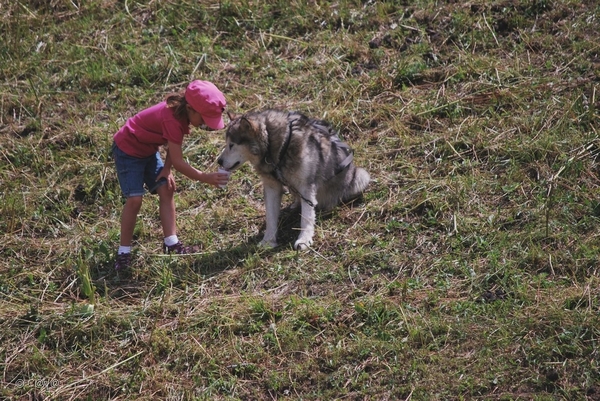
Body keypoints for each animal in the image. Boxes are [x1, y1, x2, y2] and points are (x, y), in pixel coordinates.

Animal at [218, 109, 368, 250]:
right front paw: (268, 241)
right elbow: (271, 217)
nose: (218, 161)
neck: (277, 148)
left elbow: (306, 216)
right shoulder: (271, 187)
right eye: (227, 143)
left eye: (231, 145)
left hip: (361, 176)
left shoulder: (306, 186)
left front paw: (304, 240)